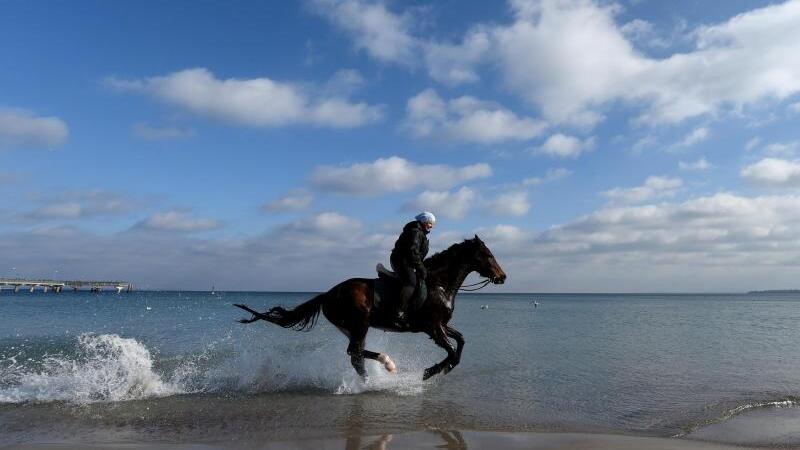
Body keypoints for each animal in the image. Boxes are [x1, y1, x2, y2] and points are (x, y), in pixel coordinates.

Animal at [233, 236, 506, 380]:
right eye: (488, 255)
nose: (502, 277)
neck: (439, 283)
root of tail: (328, 294)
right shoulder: (433, 327)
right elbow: (452, 351)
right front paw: (431, 372)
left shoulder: (441, 326)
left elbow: (461, 342)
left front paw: (440, 370)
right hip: (359, 323)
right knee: (355, 352)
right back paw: (386, 366)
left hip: (350, 327)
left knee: (355, 355)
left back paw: (373, 376)